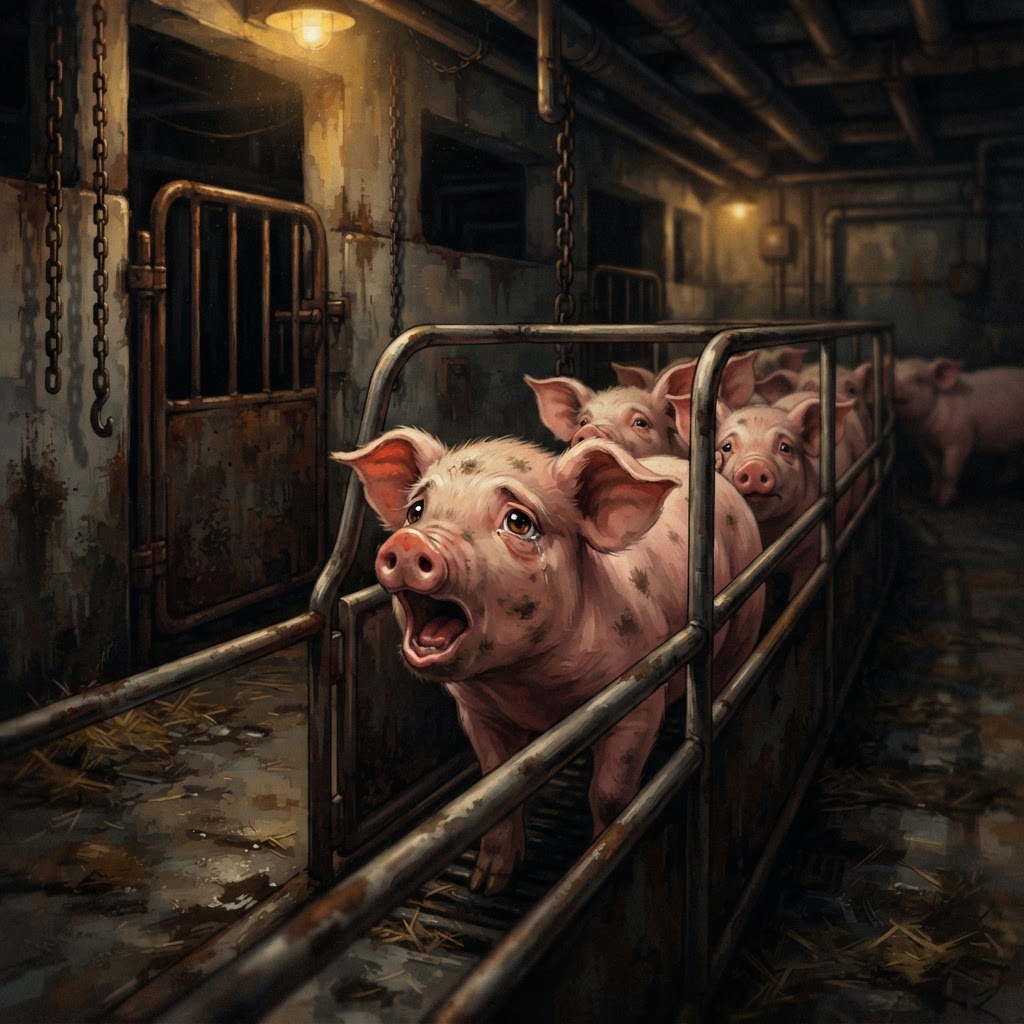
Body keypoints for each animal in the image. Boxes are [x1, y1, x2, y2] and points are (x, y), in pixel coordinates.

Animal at [333, 428, 763, 894]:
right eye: (416, 510)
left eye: (519, 522)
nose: (412, 542)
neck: (531, 688)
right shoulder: (478, 713)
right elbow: (494, 788)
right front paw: (486, 885)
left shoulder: (639, 698)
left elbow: (610, 795)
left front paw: (593, 860)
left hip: (744, 620)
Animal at [891, 357, 1024, 506]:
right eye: (891, 375)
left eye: (919, 379)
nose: (894, 385)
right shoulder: (926, 444)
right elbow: (935, 469)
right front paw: (931, 495)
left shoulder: (960, 440)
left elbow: (949, 472)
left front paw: (943, 502)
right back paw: (1000, 482)